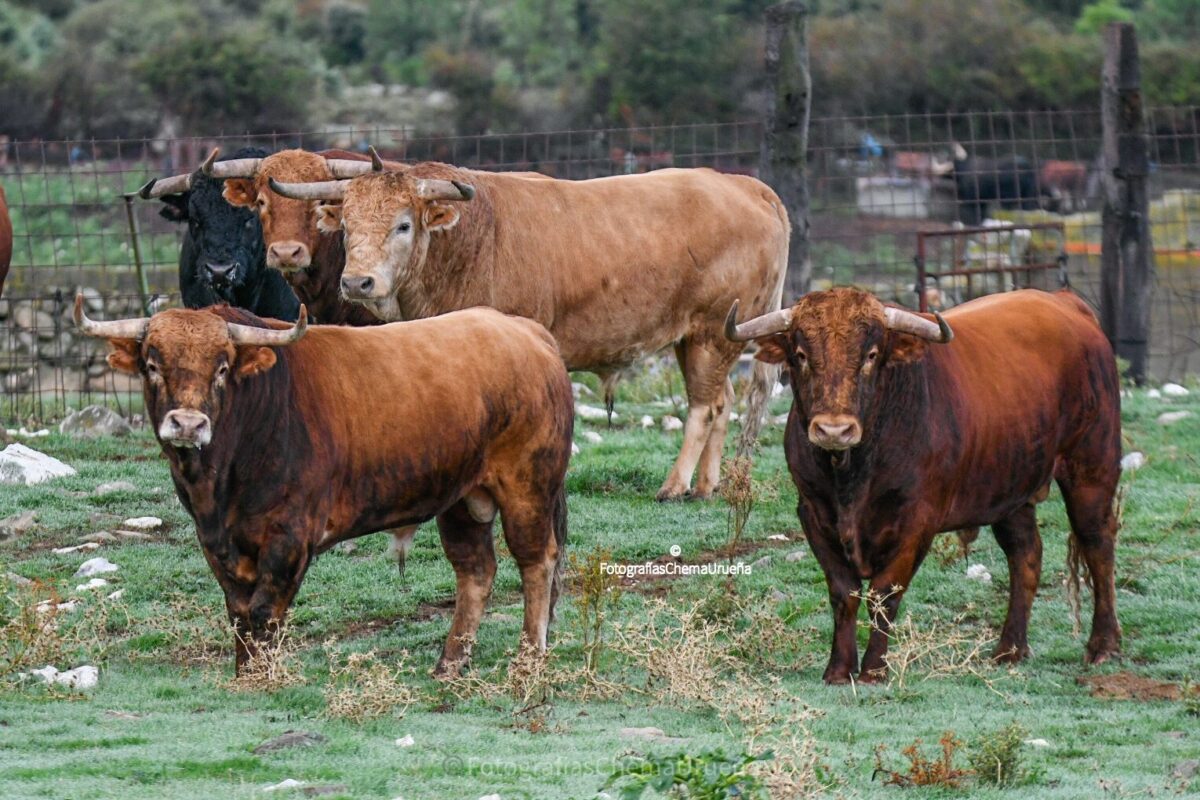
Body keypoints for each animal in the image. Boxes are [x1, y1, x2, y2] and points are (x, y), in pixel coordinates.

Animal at [75, 296, 571, 676]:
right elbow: (238, 611)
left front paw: (261, 677)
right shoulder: (216, 541)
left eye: (222, 367)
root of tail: (526, 330)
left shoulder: (290, 536)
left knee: (536, 561)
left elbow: (264, 610)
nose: (188, 423)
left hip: (528, 486)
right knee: (475, 570)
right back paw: (449, 663)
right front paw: (242, 672)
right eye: (152, 364)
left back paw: (529, 657)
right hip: (461, 500)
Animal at [720, 287, 1123, 681]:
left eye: (871, 354)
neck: (852, 475)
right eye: (801, 354)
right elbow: (844, 592)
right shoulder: (813, 513)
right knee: (1025, 555)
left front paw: (873, 670)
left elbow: (884, 594)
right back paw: (1009, 649)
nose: (834, 430)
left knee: (1097, 546)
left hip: (1092, 468)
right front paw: (838, 670)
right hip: (1009, 487)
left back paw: (1103, 645)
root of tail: (1065, 302)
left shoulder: (917, 521)